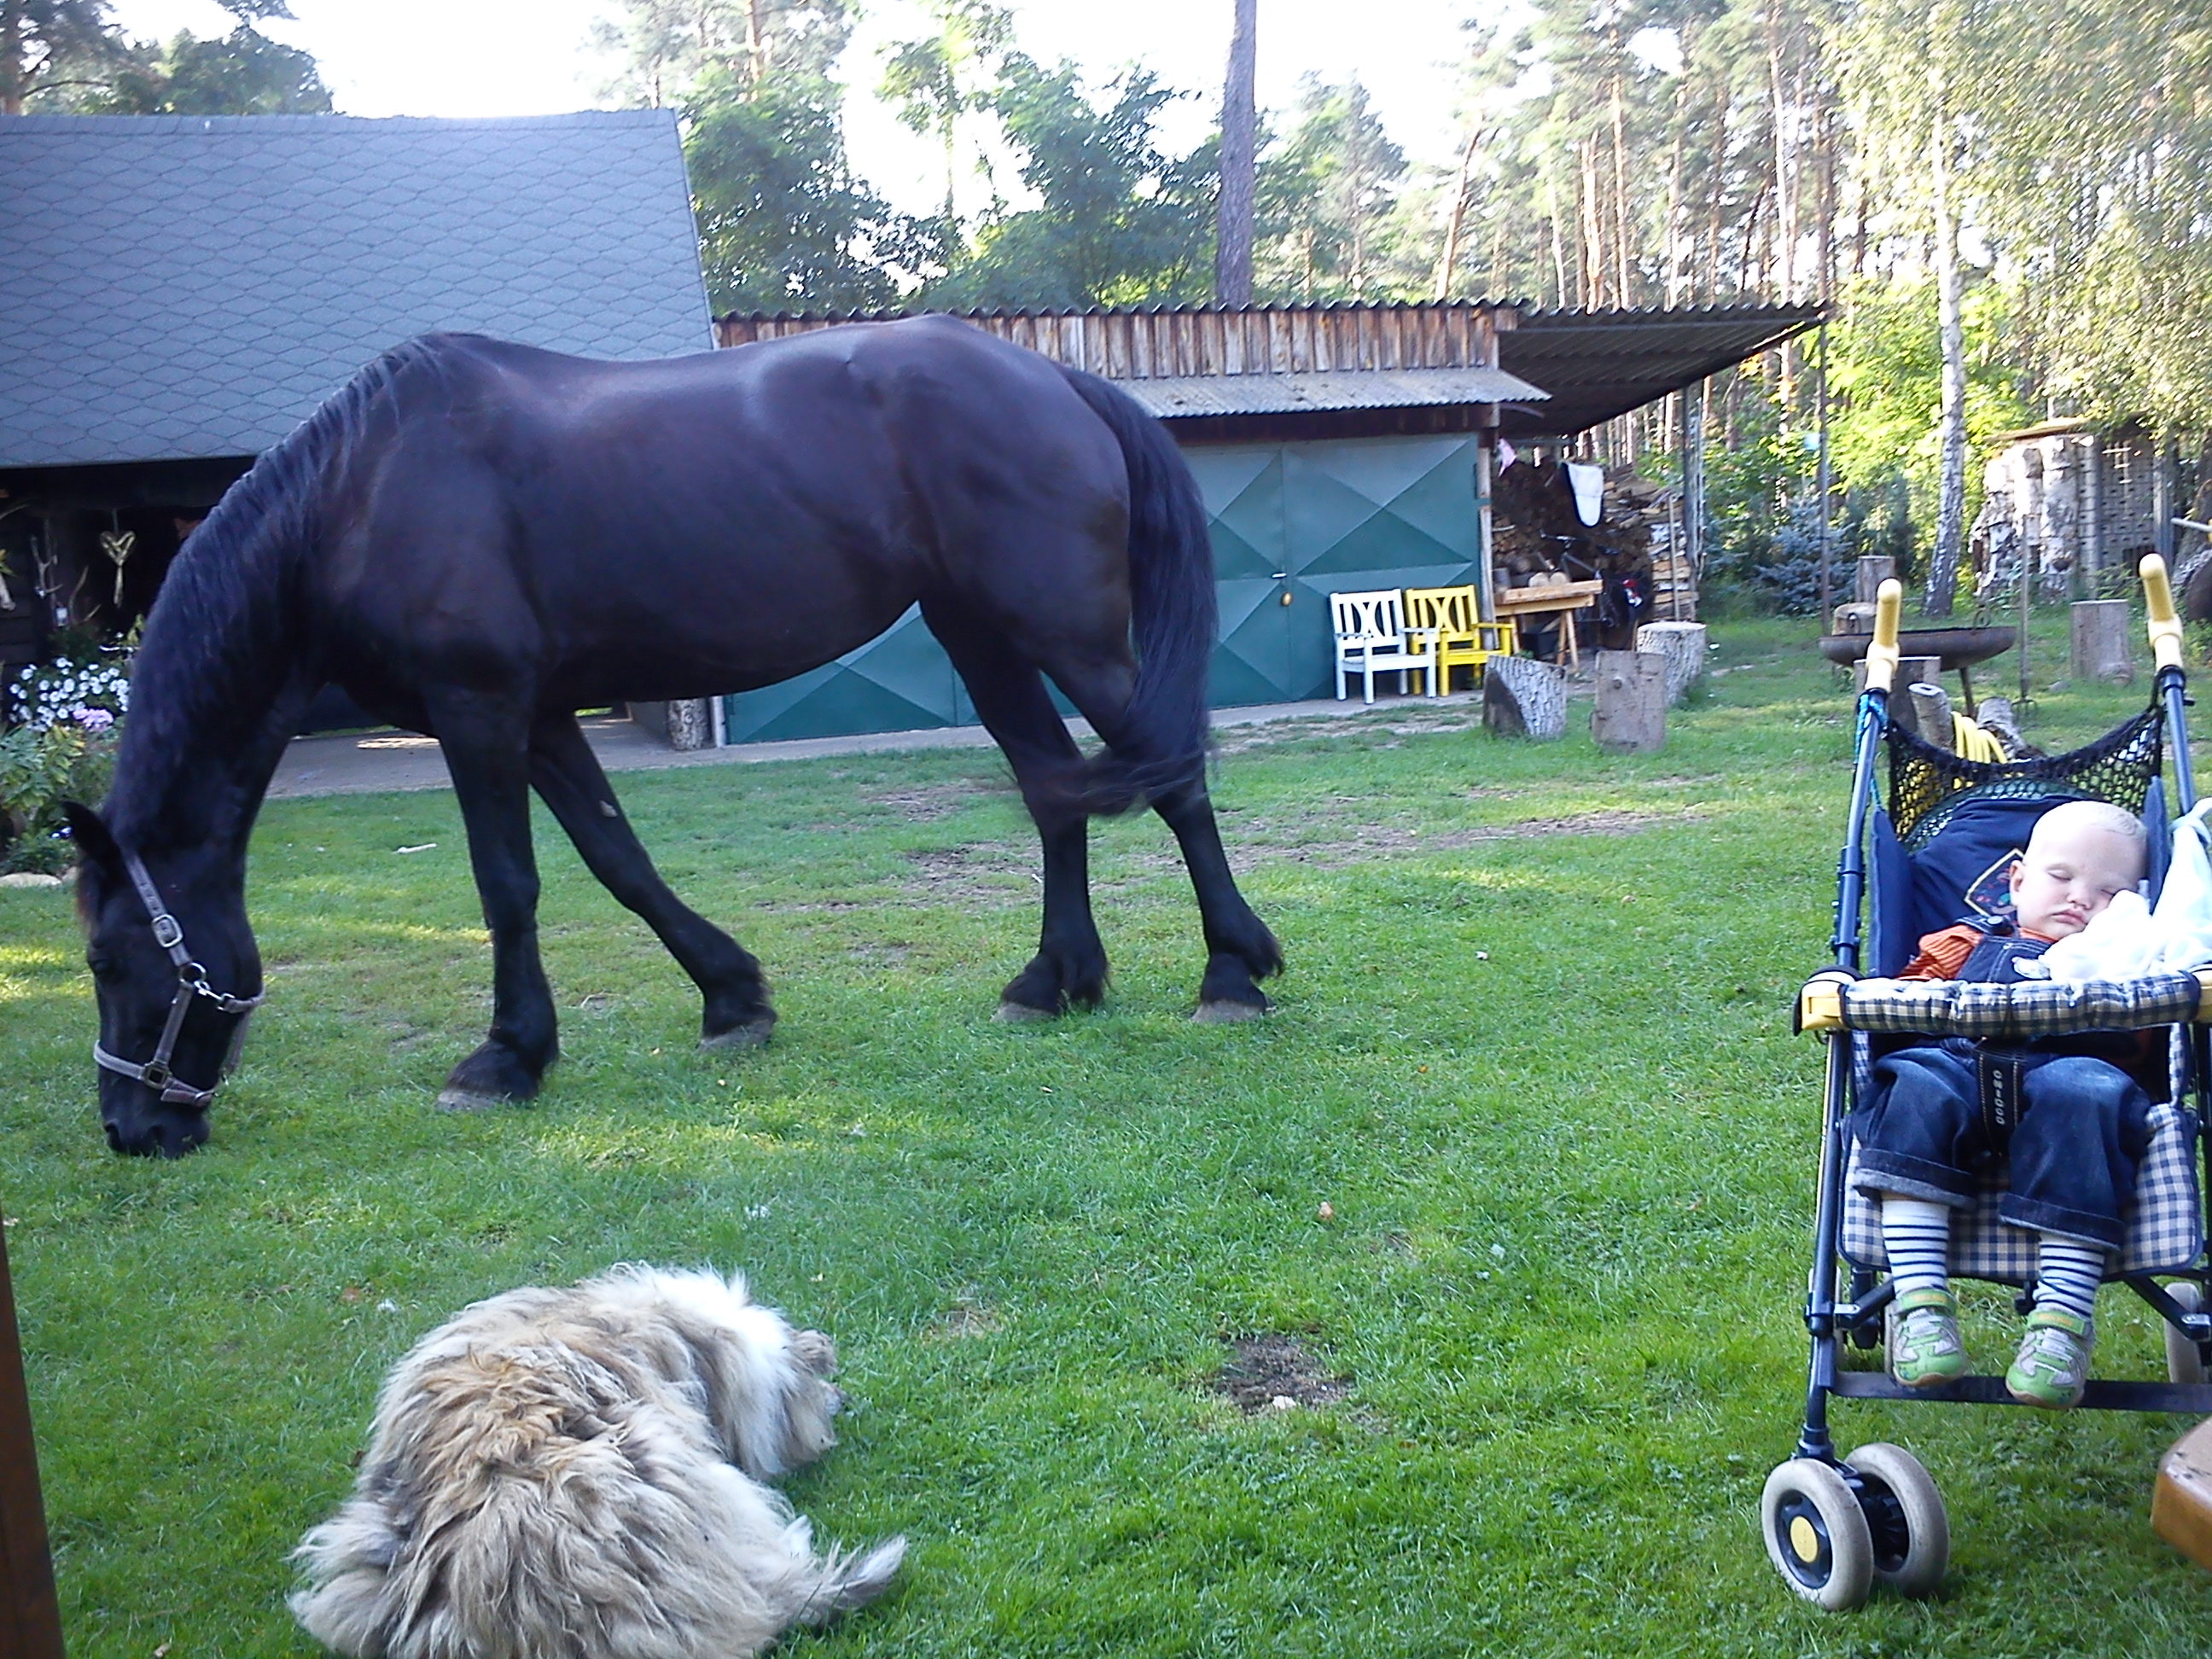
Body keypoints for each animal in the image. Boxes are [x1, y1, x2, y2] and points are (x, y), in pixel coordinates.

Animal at [69, 318, 1283, 1159]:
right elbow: (620, 861)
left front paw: (504, 1058)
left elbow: (507, 883)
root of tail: (1060, 380)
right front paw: (732, 997)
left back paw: (1231, 973)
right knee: (1053, 788)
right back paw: (1054, 980)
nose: (132, 1129)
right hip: (980, 635)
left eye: (107, 958)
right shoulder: (542, 717)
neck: (363, 493)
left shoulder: (480, 709)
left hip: (1064, 634)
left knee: (1170, 777)